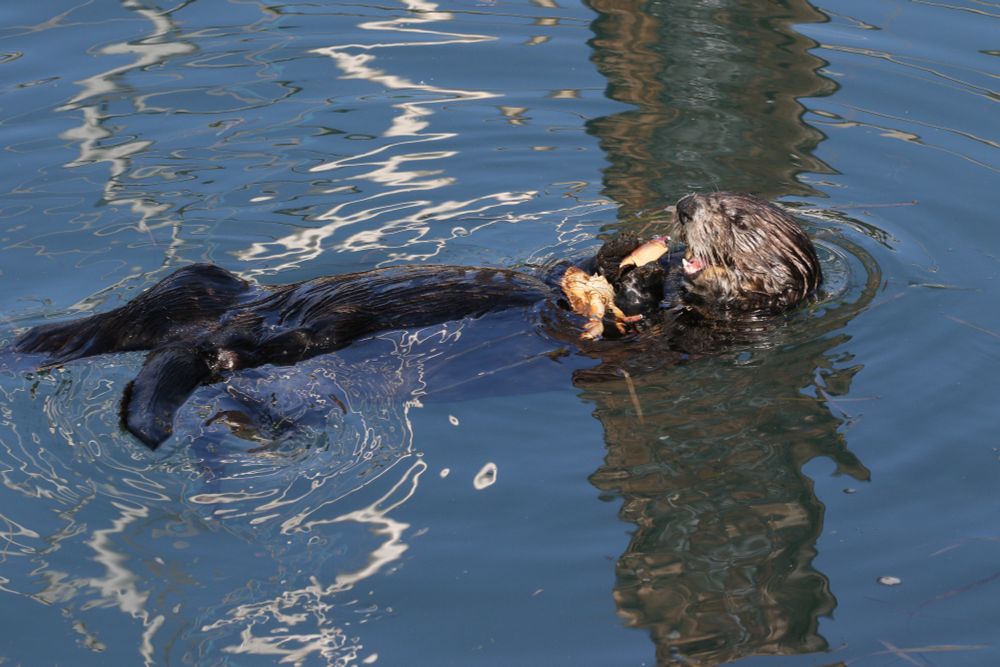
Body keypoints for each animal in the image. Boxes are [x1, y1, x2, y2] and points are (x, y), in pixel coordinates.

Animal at [14, 192, 821, 449]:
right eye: (708, 198)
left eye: (735, 218)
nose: (685, 205)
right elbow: (572, 271)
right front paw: (625, 253)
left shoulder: (689, 338)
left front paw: (643, 279)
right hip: (207, 285)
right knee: (172, 300)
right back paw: (27, 340)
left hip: (271, 338)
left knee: (220, 355)